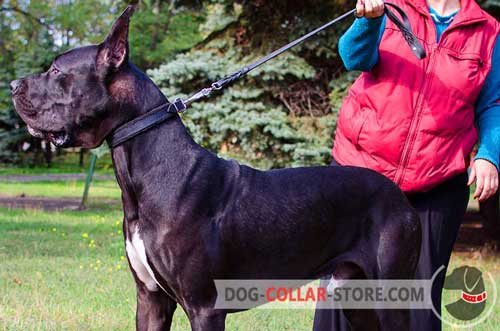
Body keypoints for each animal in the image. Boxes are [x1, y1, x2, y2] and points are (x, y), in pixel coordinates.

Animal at [9, 5, 420, 331]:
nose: (12, 84)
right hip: (354, 295)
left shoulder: (205, 306)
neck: (148, 174)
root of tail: (399, 196)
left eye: (56, 70)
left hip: (390, 292)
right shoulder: (150, 299)